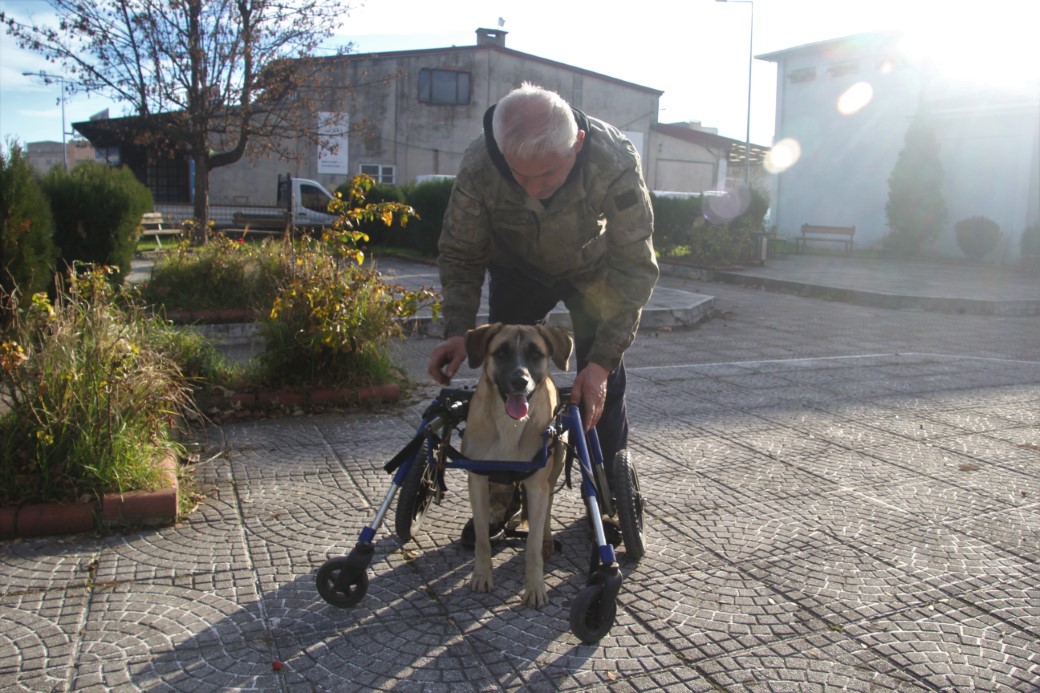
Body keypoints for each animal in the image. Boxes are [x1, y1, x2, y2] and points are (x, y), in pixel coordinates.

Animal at [465, 322, 578, 603]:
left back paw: (547, 541)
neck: (509, 425)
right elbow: (481, 538)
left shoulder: (537, 487)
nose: (520, 381)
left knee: (546, 512)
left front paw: (535, 586)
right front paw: (482, 574)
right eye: (501, 352)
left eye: (536, 353)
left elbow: (532, 546)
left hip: (553, 471)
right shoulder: (478, 481)